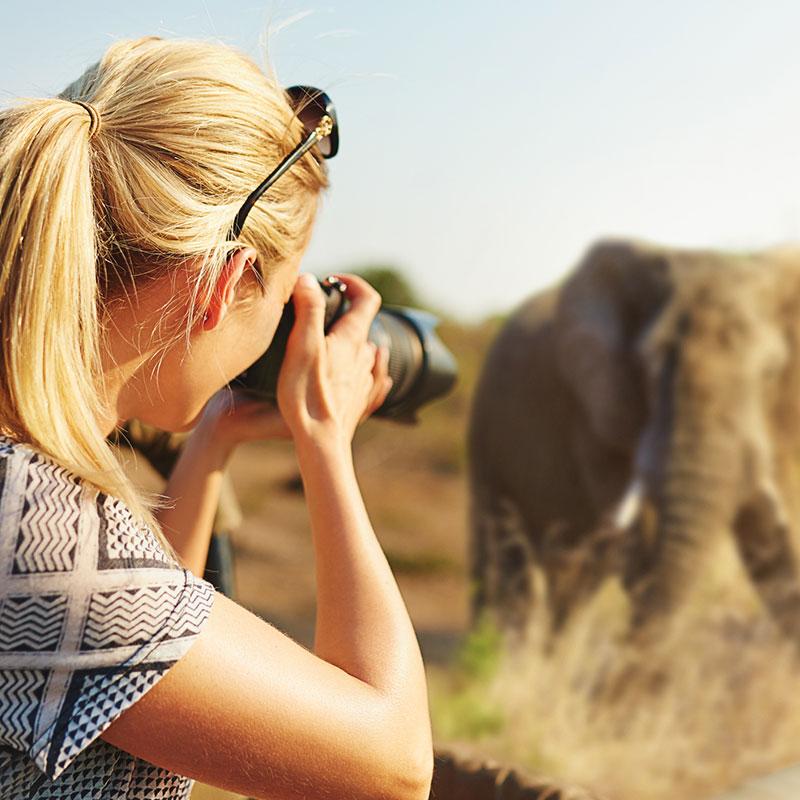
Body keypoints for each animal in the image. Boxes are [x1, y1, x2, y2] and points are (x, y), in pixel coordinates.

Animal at [466, 236, 800, 636]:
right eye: (651, 365)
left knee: (573, 592)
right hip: (486, 445)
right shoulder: (596, 416)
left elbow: (766, 538)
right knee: (508, 576)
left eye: (771, 372)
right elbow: (640, 545)